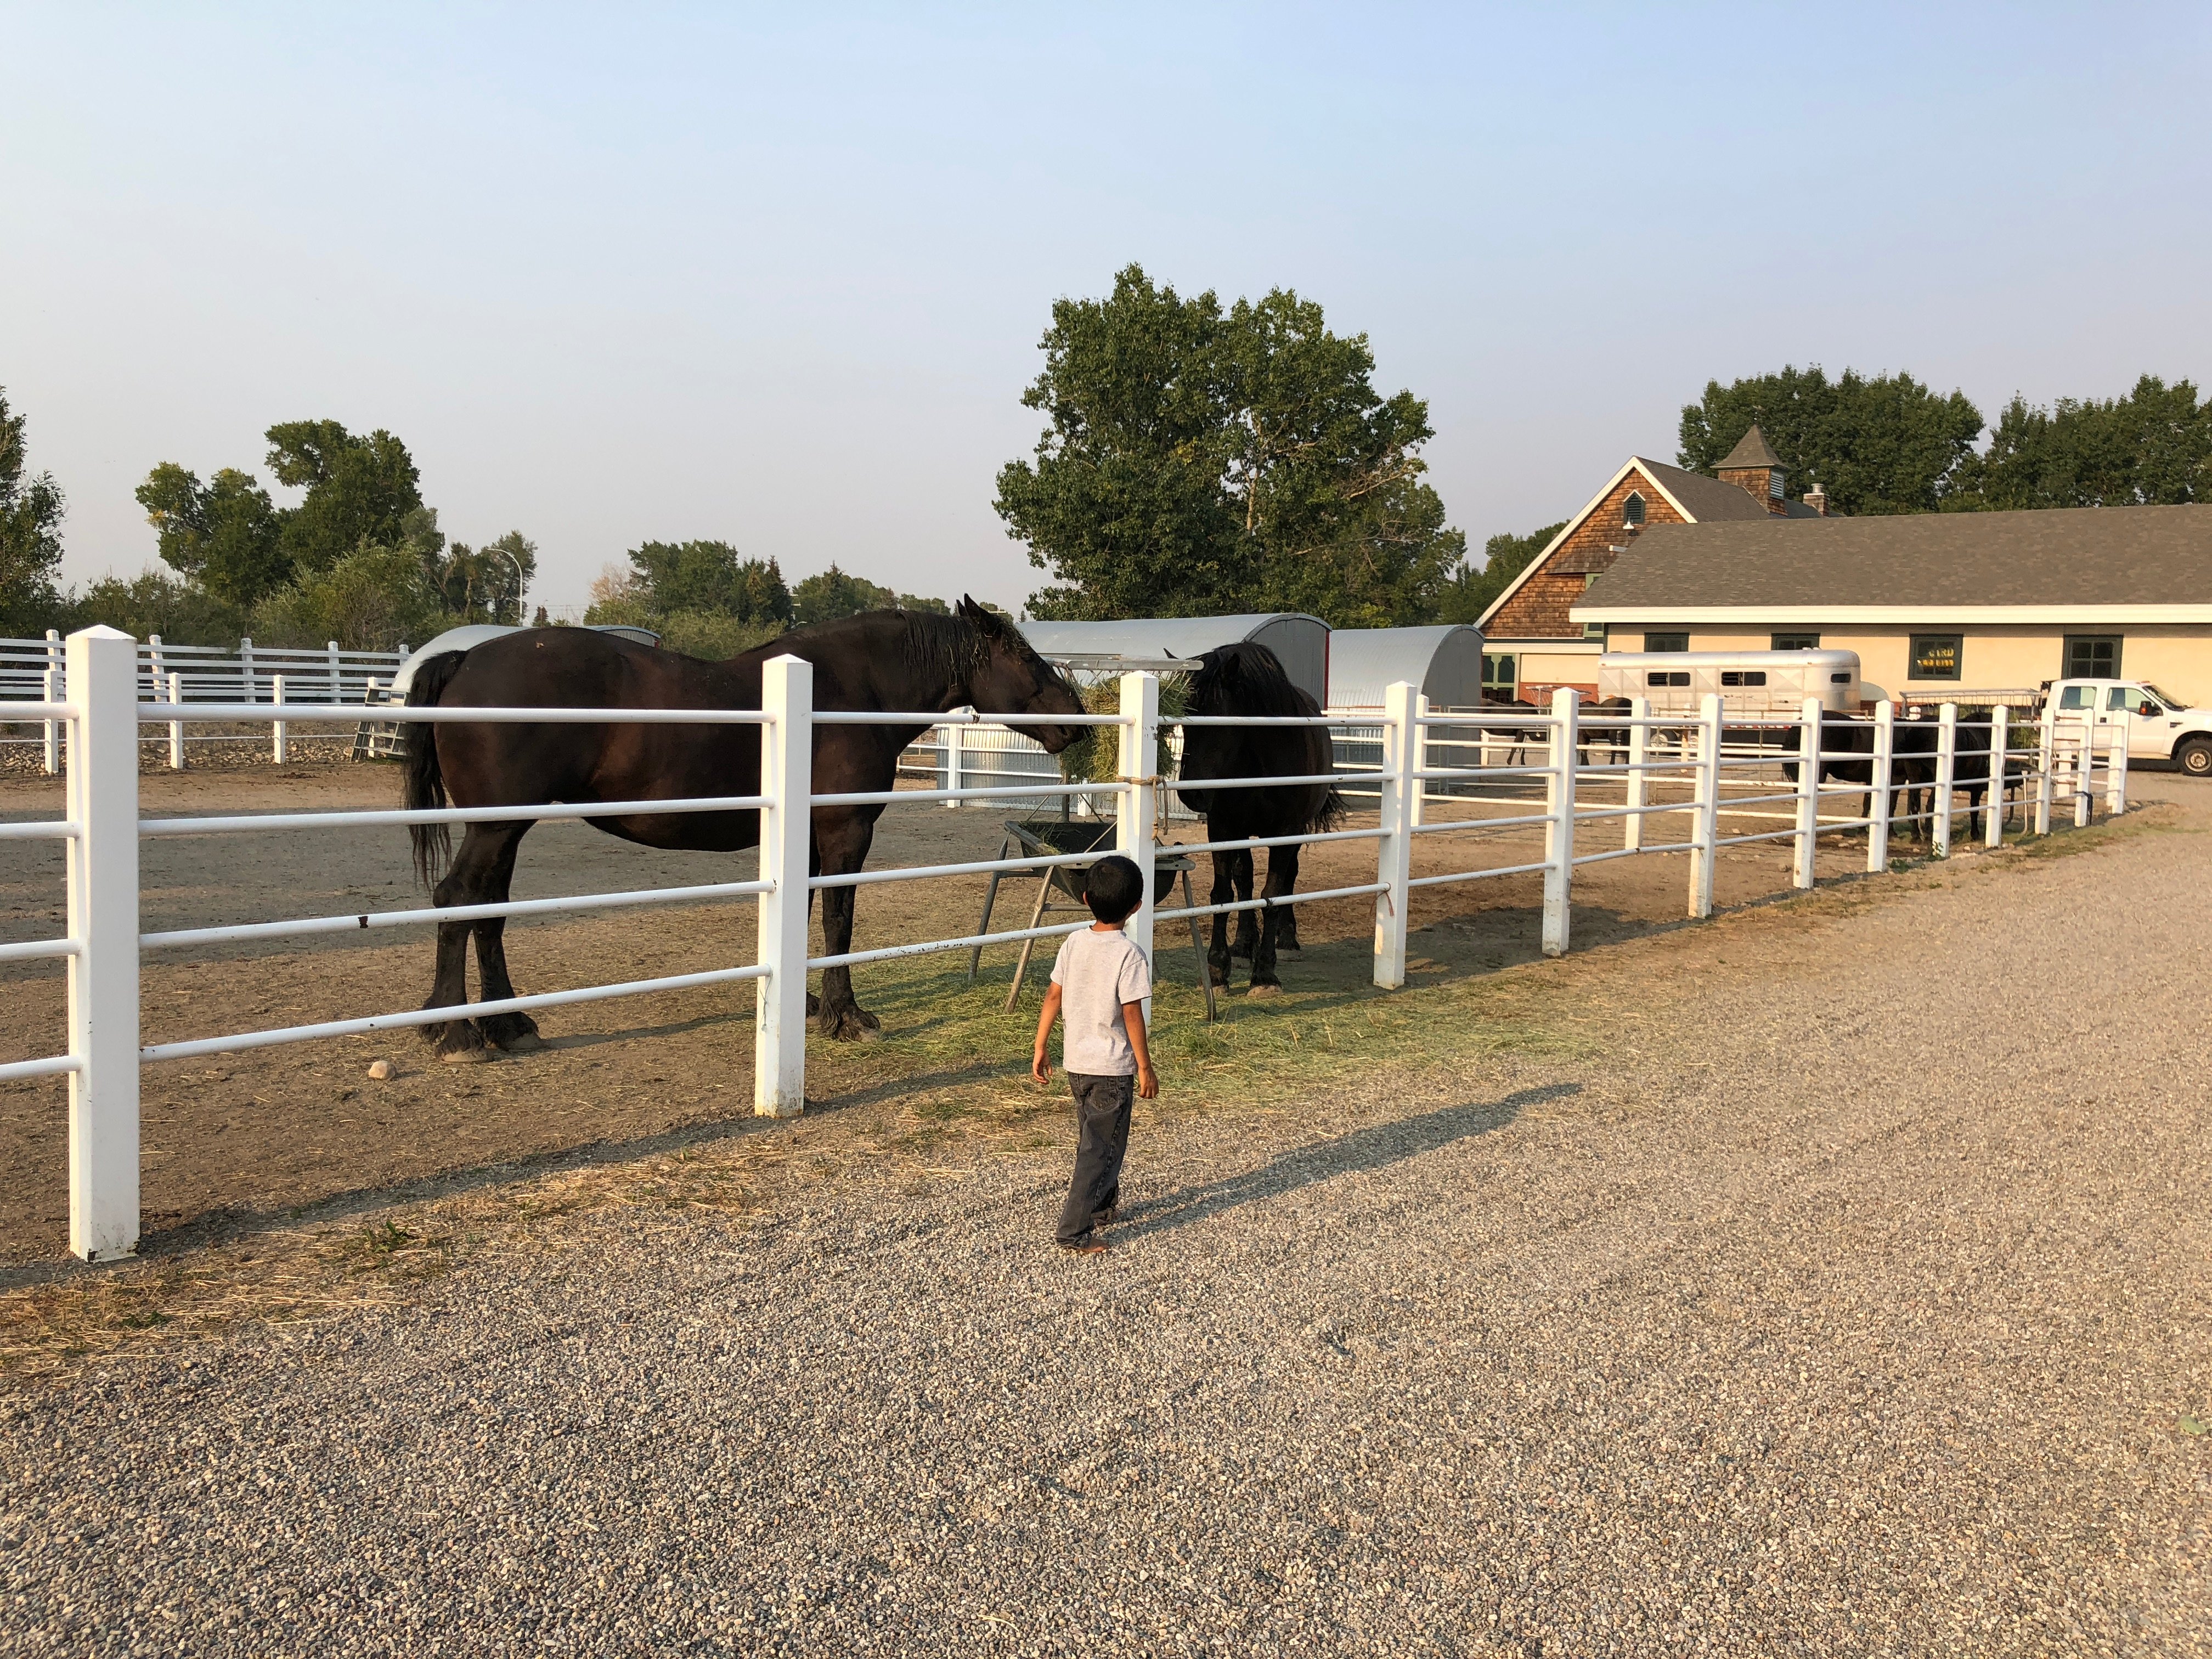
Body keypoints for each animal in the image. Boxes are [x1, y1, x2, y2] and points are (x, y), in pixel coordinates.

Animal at [409, 606, 1088, 1057]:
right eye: (1026, 659)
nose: (1077, 721)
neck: (843, 690)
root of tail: (465, 660)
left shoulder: (809, 837)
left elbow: (808, 911)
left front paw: (808, 1006)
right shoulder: (845, 832)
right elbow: (839, 918)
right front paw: (846, 1016)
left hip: (505, 828)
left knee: (488, 910)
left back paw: (508, 1024)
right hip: (497, 825)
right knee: (458, 899)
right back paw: (457, 1031)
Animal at [1167, 641, 1336, 1000]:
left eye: (1218, 722)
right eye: (1183, 719)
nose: (1193, 795)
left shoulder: (1286, 832)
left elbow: (1272, 894)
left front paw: (1266, 974)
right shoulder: (1223, 827)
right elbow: (1223, 894)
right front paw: (1218, 969)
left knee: (1288, 879)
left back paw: (1286, 940)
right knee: (1243, 879)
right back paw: (1244, 946)